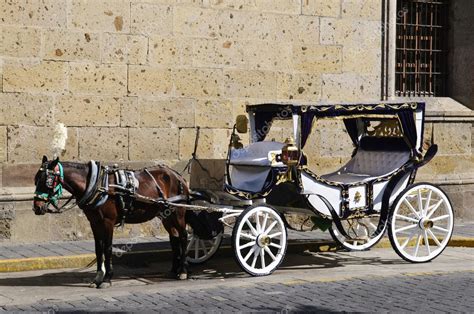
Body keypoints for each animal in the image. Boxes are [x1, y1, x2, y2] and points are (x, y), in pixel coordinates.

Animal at [32, 156, 191, 288]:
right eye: (35, 179)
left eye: (47, 181)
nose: (37, 208)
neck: (97, 185)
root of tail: (178, 176)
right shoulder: (94, 222)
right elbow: (98, 249)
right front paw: (97, 277)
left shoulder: (108, 222)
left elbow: (107, 249)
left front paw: (107, 279)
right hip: (166, 216)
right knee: (174, 239)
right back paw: (173, 270)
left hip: (178, 213)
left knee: (183, 237)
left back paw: (183, 271)